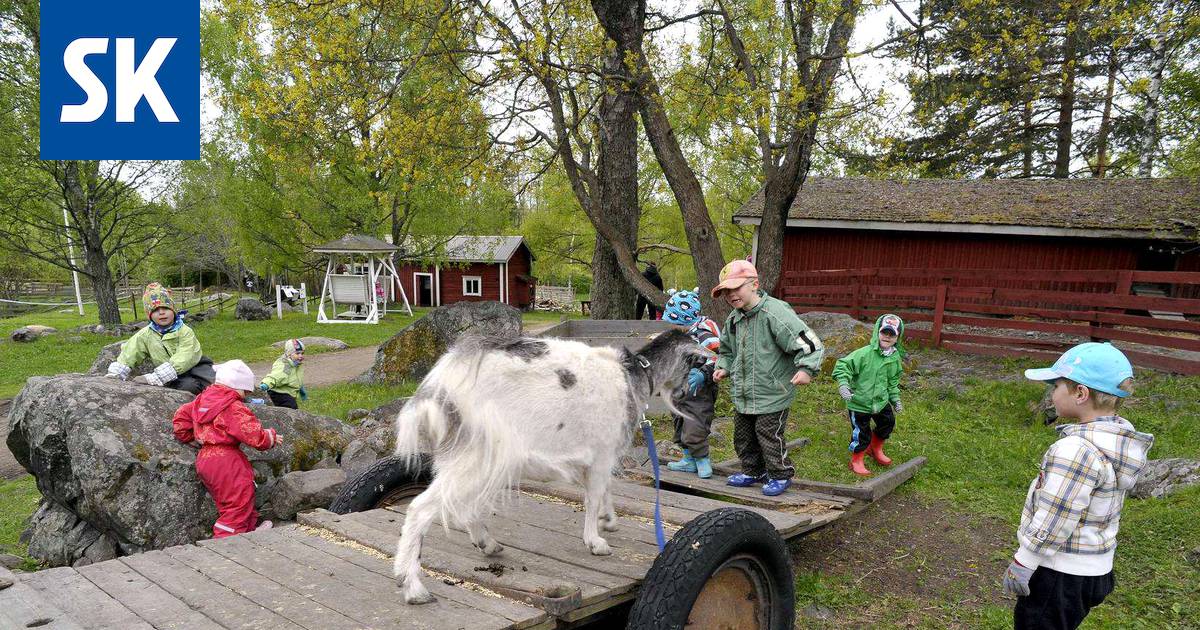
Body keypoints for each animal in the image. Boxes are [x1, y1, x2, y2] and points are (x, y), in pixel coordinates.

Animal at [388, 326, 705, 602]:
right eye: (694, 364)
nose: (683, 395)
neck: (632, 376)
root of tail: (438, 383)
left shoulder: (598, 457)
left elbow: (604, 490)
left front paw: (609, 520)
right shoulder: (602, 453)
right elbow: (593, 496)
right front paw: (595, 541)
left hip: (469, 456)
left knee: (463, 505)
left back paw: (487, 544)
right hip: (479, 454)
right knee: (421, 509)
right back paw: (413, 587)